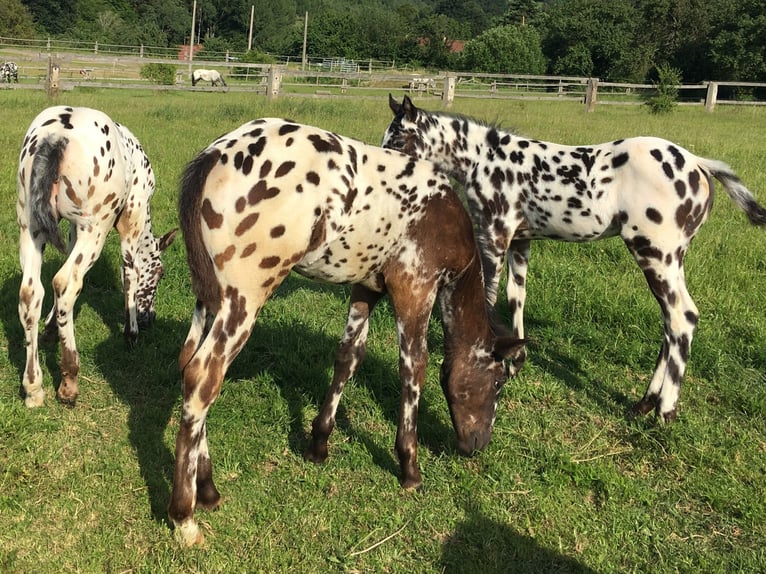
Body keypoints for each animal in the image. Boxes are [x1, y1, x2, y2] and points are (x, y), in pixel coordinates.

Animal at [17, 104, 178, 410]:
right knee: (66, 283)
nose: (149, 318)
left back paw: (33, 387)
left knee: (31, 293)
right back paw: (69, 382)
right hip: (96, 227)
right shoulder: (131, 219)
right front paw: (131, 333)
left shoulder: (71, 227)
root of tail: (55, 136)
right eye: (160, 273)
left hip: (30, 226)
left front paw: (50, 328)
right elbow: (130, 271)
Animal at [168, 118, 528, 548]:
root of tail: (215, 154)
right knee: (203, 377)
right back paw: (185, 517)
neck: (442, 215)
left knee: (188, 365)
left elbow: (348, 358)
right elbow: (414, 369)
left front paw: (319, 444)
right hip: (244, 299)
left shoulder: (367, 288)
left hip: (210, 298)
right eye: (498, 383)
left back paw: (207, 489)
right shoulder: (414, 288)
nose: (477, 444)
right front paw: (410, 467)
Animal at [388, 94, 766, 426]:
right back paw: (644, 403)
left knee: (682, 317)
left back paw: (665, 411)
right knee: (669, 324)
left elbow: (488, 296)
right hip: (671, 259)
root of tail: (700, 163)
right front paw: (516, 360)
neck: (484, 160)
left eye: (399, 139)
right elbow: (516, 296)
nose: (387, 168)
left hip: (655, 254)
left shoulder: (494, 236)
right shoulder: (521, 241)